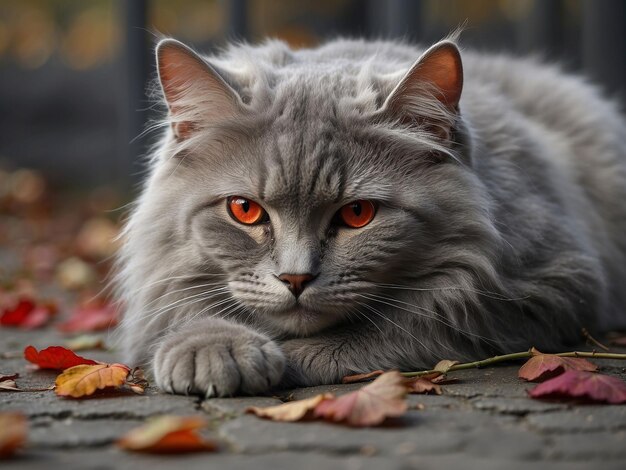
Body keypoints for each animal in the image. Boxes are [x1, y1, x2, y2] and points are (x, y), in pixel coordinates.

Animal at [113, 35, 624, 398]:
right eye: (245, 210)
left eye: (358, 213)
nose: (295, 279)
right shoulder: (162, 278)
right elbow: (182, 311)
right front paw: (212, 347)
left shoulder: (541, 289)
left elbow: (379, 333)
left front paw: (280, 357)